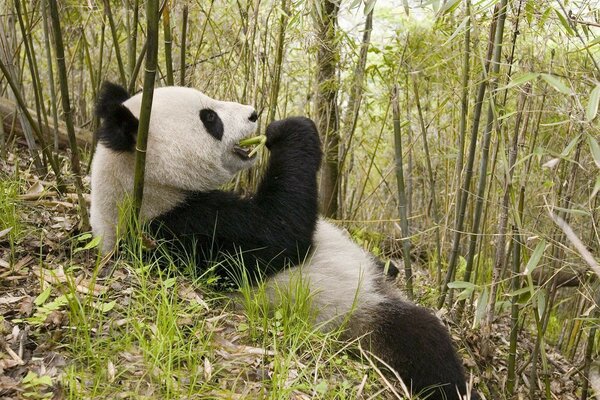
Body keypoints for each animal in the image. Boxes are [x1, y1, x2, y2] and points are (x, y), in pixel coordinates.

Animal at [91, 82, 478, 400]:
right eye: (209, 118)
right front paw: (290, 130)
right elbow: (280, 233)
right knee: (423, 343)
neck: (142, 188)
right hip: (355, 316)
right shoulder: (183, 230)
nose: (254, 114)